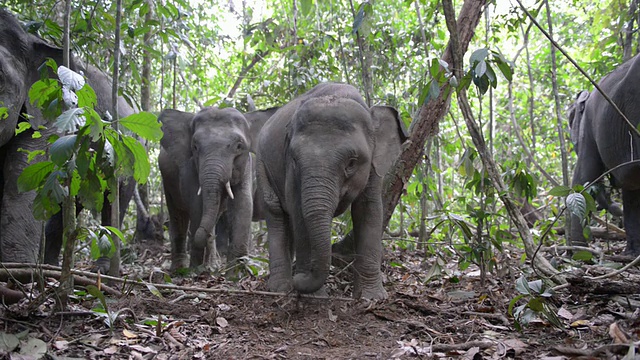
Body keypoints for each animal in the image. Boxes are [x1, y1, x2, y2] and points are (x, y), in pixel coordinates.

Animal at [0, 9, 135, 264]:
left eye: (0, 75)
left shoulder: (56, 112)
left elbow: (23, 175)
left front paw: (15, 268)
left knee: (114, 201)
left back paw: (102, 268)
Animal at [258, 83, 408, 300]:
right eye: (294, 159)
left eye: (352, 163)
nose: (299, 279)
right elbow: (298, 210)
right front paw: (315, 296)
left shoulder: (373, 167)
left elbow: (368, 209)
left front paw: (371, 297)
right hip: (261, 164)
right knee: (275, 211)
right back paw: (280, 287)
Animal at [568, 52, 640, 256]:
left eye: (570, 120)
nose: (615, 207)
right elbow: (632, 191)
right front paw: (632, 254)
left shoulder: (588, 130)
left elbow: (583, 179)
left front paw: (578, 256)